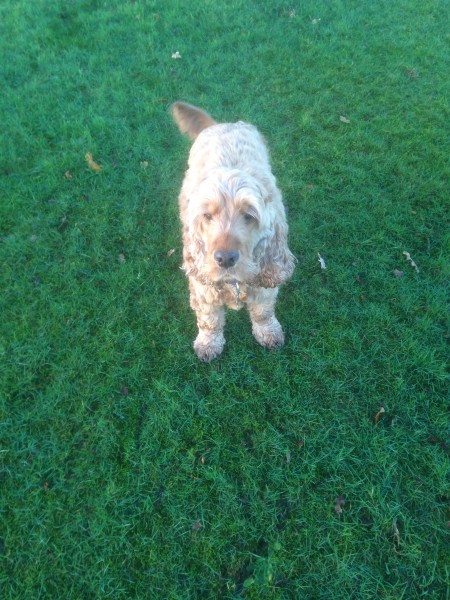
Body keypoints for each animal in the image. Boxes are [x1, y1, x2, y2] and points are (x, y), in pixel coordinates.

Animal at [170, 102, 296, 360]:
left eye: (249, 215)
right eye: (207, 216)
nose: (225, 259)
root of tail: (221, 124)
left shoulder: (265, 284)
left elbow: (263, 312)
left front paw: (268, 333)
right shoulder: (203, 289)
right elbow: (209, 321)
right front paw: (208, 344)